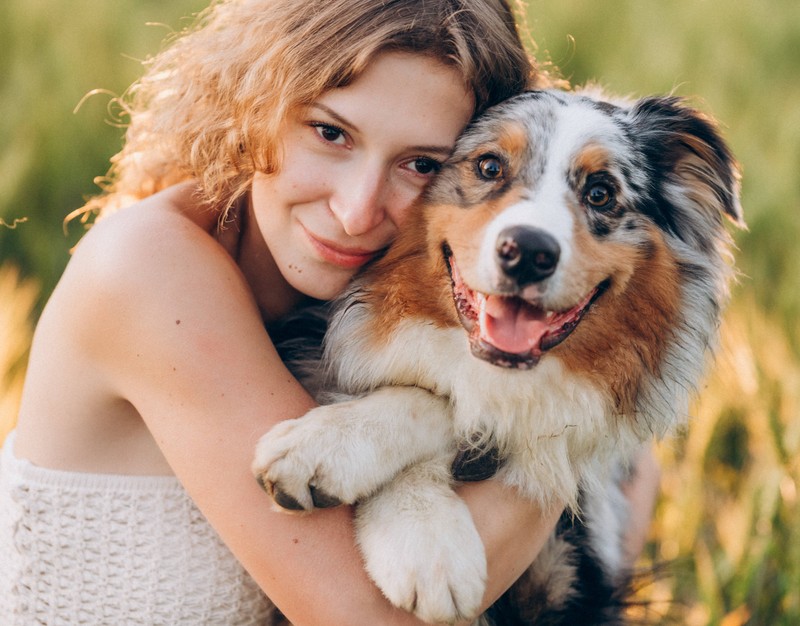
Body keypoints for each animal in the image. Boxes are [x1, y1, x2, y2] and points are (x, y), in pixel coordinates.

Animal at [252, 89, 744, 624]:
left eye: (600, 193)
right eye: (489, 166)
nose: (528, 252)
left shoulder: (575, 568)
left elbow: (450, 405)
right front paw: (420, 532)